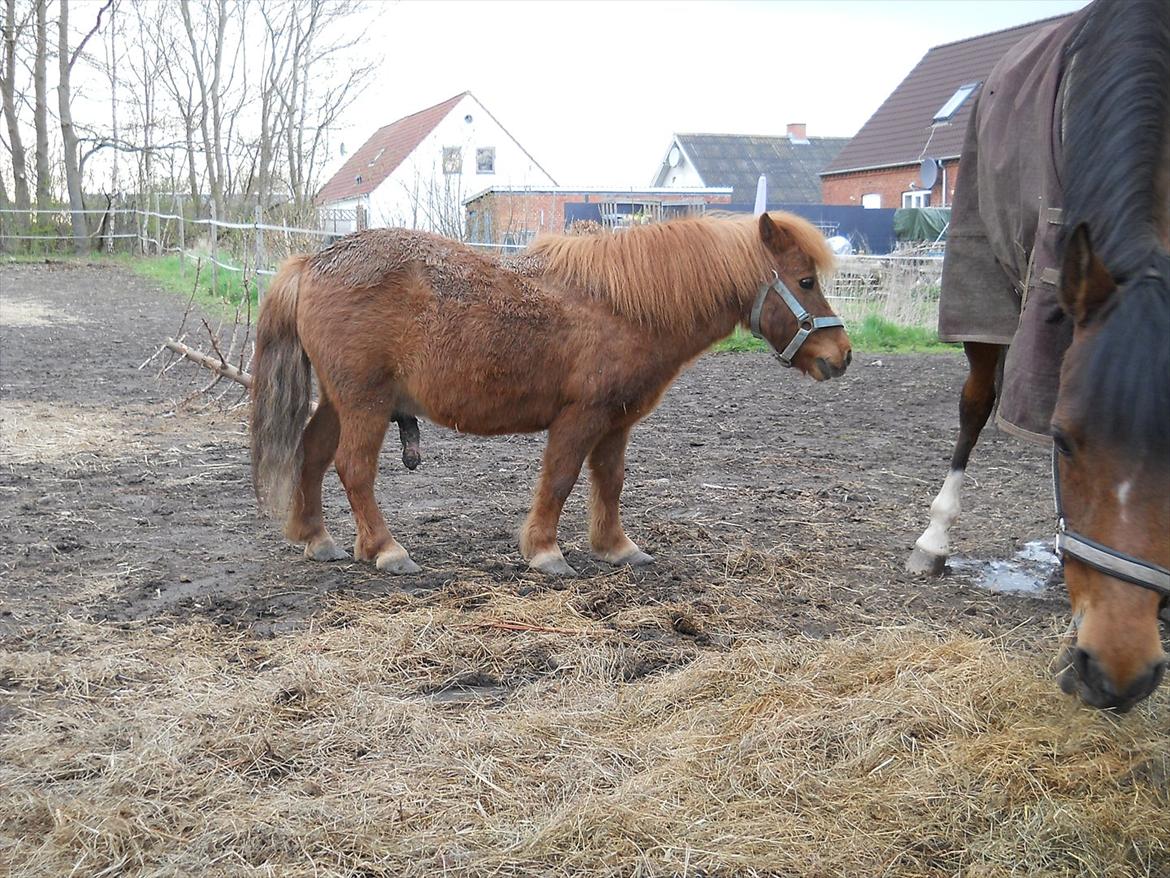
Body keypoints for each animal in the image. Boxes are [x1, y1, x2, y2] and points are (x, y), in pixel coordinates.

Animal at [250, 211, 852, 577]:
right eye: (805, 281)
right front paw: (544, 551)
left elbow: (609, 481)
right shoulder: (581, 416)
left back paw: (317, 537)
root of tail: (311, 262)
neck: (623, 307)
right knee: (353, 468)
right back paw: (384, 549)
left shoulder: (617, 420)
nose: (842, 354)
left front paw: (615, 546)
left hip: (340, 401)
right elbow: (561, 479)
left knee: (313, 453)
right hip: (365, 404)